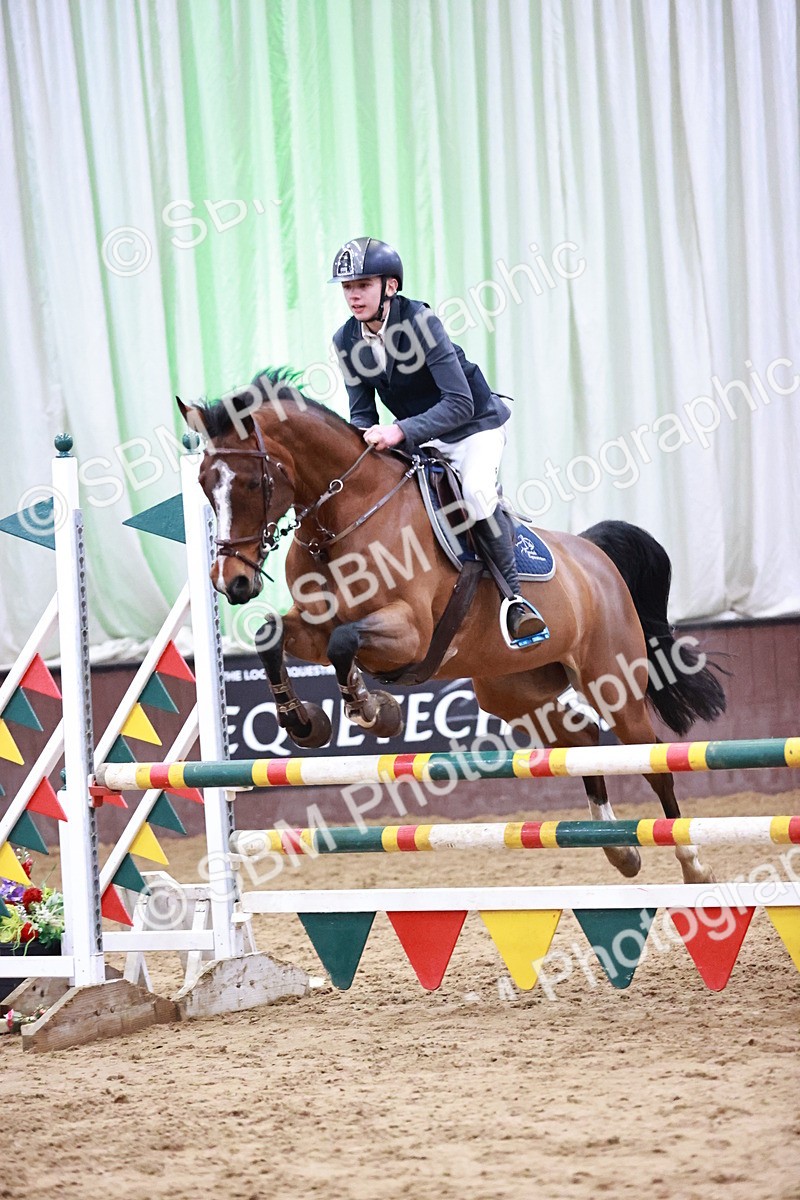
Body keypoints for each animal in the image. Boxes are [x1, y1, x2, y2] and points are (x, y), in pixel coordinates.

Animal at [178, 369, 726, 884]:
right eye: (204, 483)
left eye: (252, 483)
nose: (232, 582)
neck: (342, 518)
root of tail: (594, 555)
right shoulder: (313, 625)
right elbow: (273, 637)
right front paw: (304, 722)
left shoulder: (410, 633)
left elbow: (344, 642)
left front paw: (373, 711)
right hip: (515, 691)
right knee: (583, 739)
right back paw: (619, 848)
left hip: (611, 681)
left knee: (652, 760)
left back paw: (692, 863)